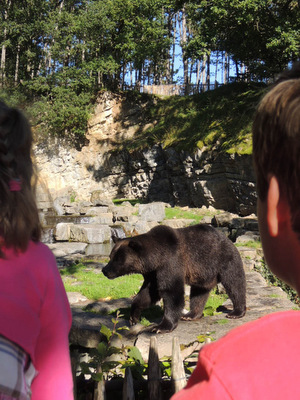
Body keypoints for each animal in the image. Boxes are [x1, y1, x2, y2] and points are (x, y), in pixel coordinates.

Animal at [102, 223, 245, 332]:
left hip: (224, 259)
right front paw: (134, 317)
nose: (105, 270)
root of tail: (227, 238)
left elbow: (172, 292)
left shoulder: (171, 262)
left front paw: (161, 327)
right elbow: (148, 293)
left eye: (117, 259)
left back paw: (236, 312)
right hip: (202, 273)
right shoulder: (153, 273)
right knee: (199, 293)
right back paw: (191, 314)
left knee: (234, 283)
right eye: (111, 256)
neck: (156, 258)